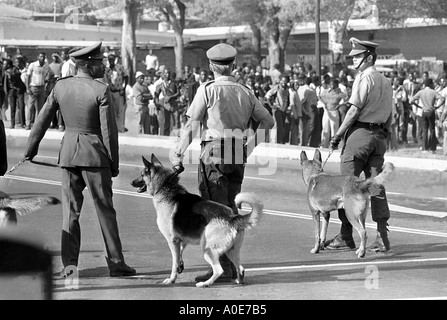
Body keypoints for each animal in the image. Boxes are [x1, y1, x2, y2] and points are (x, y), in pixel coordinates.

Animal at [130, 154, 264, 288]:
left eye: (142, 174)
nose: (131, 182)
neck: (164, 187)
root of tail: (233, 217)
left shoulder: (172, 241)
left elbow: (174, 263)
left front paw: (172, 279)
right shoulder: (181, 241)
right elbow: (179, 256)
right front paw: (180, 266)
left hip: (207, 249)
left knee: (219, 270)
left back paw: (205, 283)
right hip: (231, 251)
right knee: (240, 269)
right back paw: (238, 281)